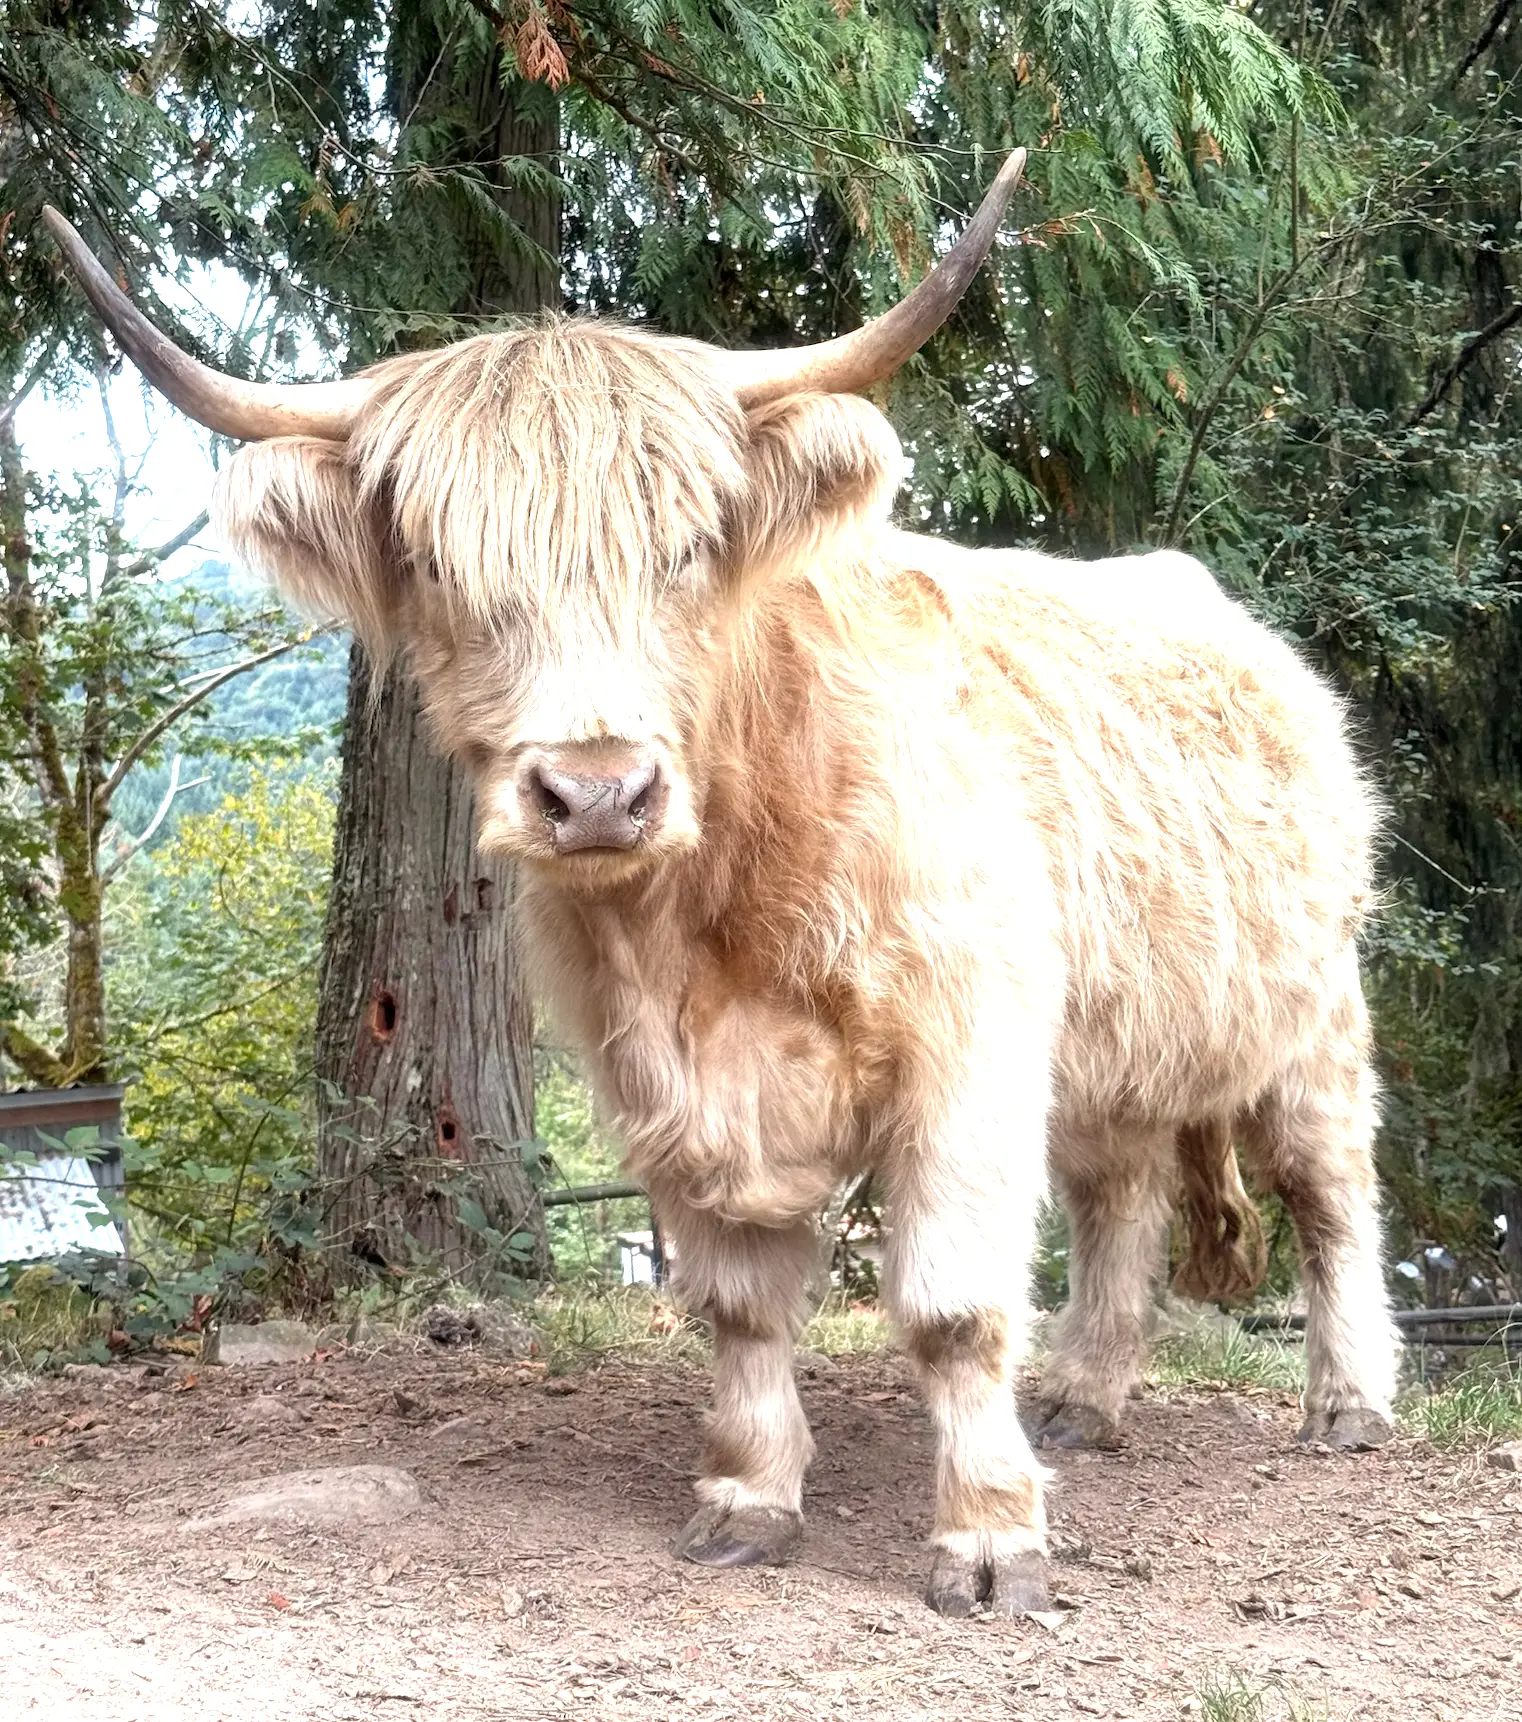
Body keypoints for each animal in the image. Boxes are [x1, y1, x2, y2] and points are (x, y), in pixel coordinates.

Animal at [46, 150, 1399, 1617]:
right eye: (441, 564)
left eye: (689, 544)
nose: (596, 792)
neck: (713, 916)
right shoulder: (662, 1083)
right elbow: (741, 1305)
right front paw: (748, 1498)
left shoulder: (967, 1051)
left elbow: (952, 1305)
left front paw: (988, 1539)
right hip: (1114, 1044)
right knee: (1121, 1197)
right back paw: (1085, 1398)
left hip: (1315, 1009)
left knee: (1328, 1192)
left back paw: (1347, 1405)